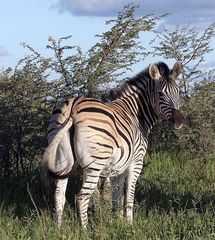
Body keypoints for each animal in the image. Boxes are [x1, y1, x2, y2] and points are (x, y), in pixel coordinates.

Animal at [41, 61, 183, 228]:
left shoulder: (118, 167)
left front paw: (116, 222)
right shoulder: (136, 161)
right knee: (81, 198)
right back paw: (85, 230)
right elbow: (129, 196)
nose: (179, 121)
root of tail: (73, 108)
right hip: (95, 163)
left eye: (178, 92)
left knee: (59, 195)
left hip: (63, 161)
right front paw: (129, 224)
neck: (137, 114)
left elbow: (116, 196)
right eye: (160, 93)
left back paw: (59, 228)